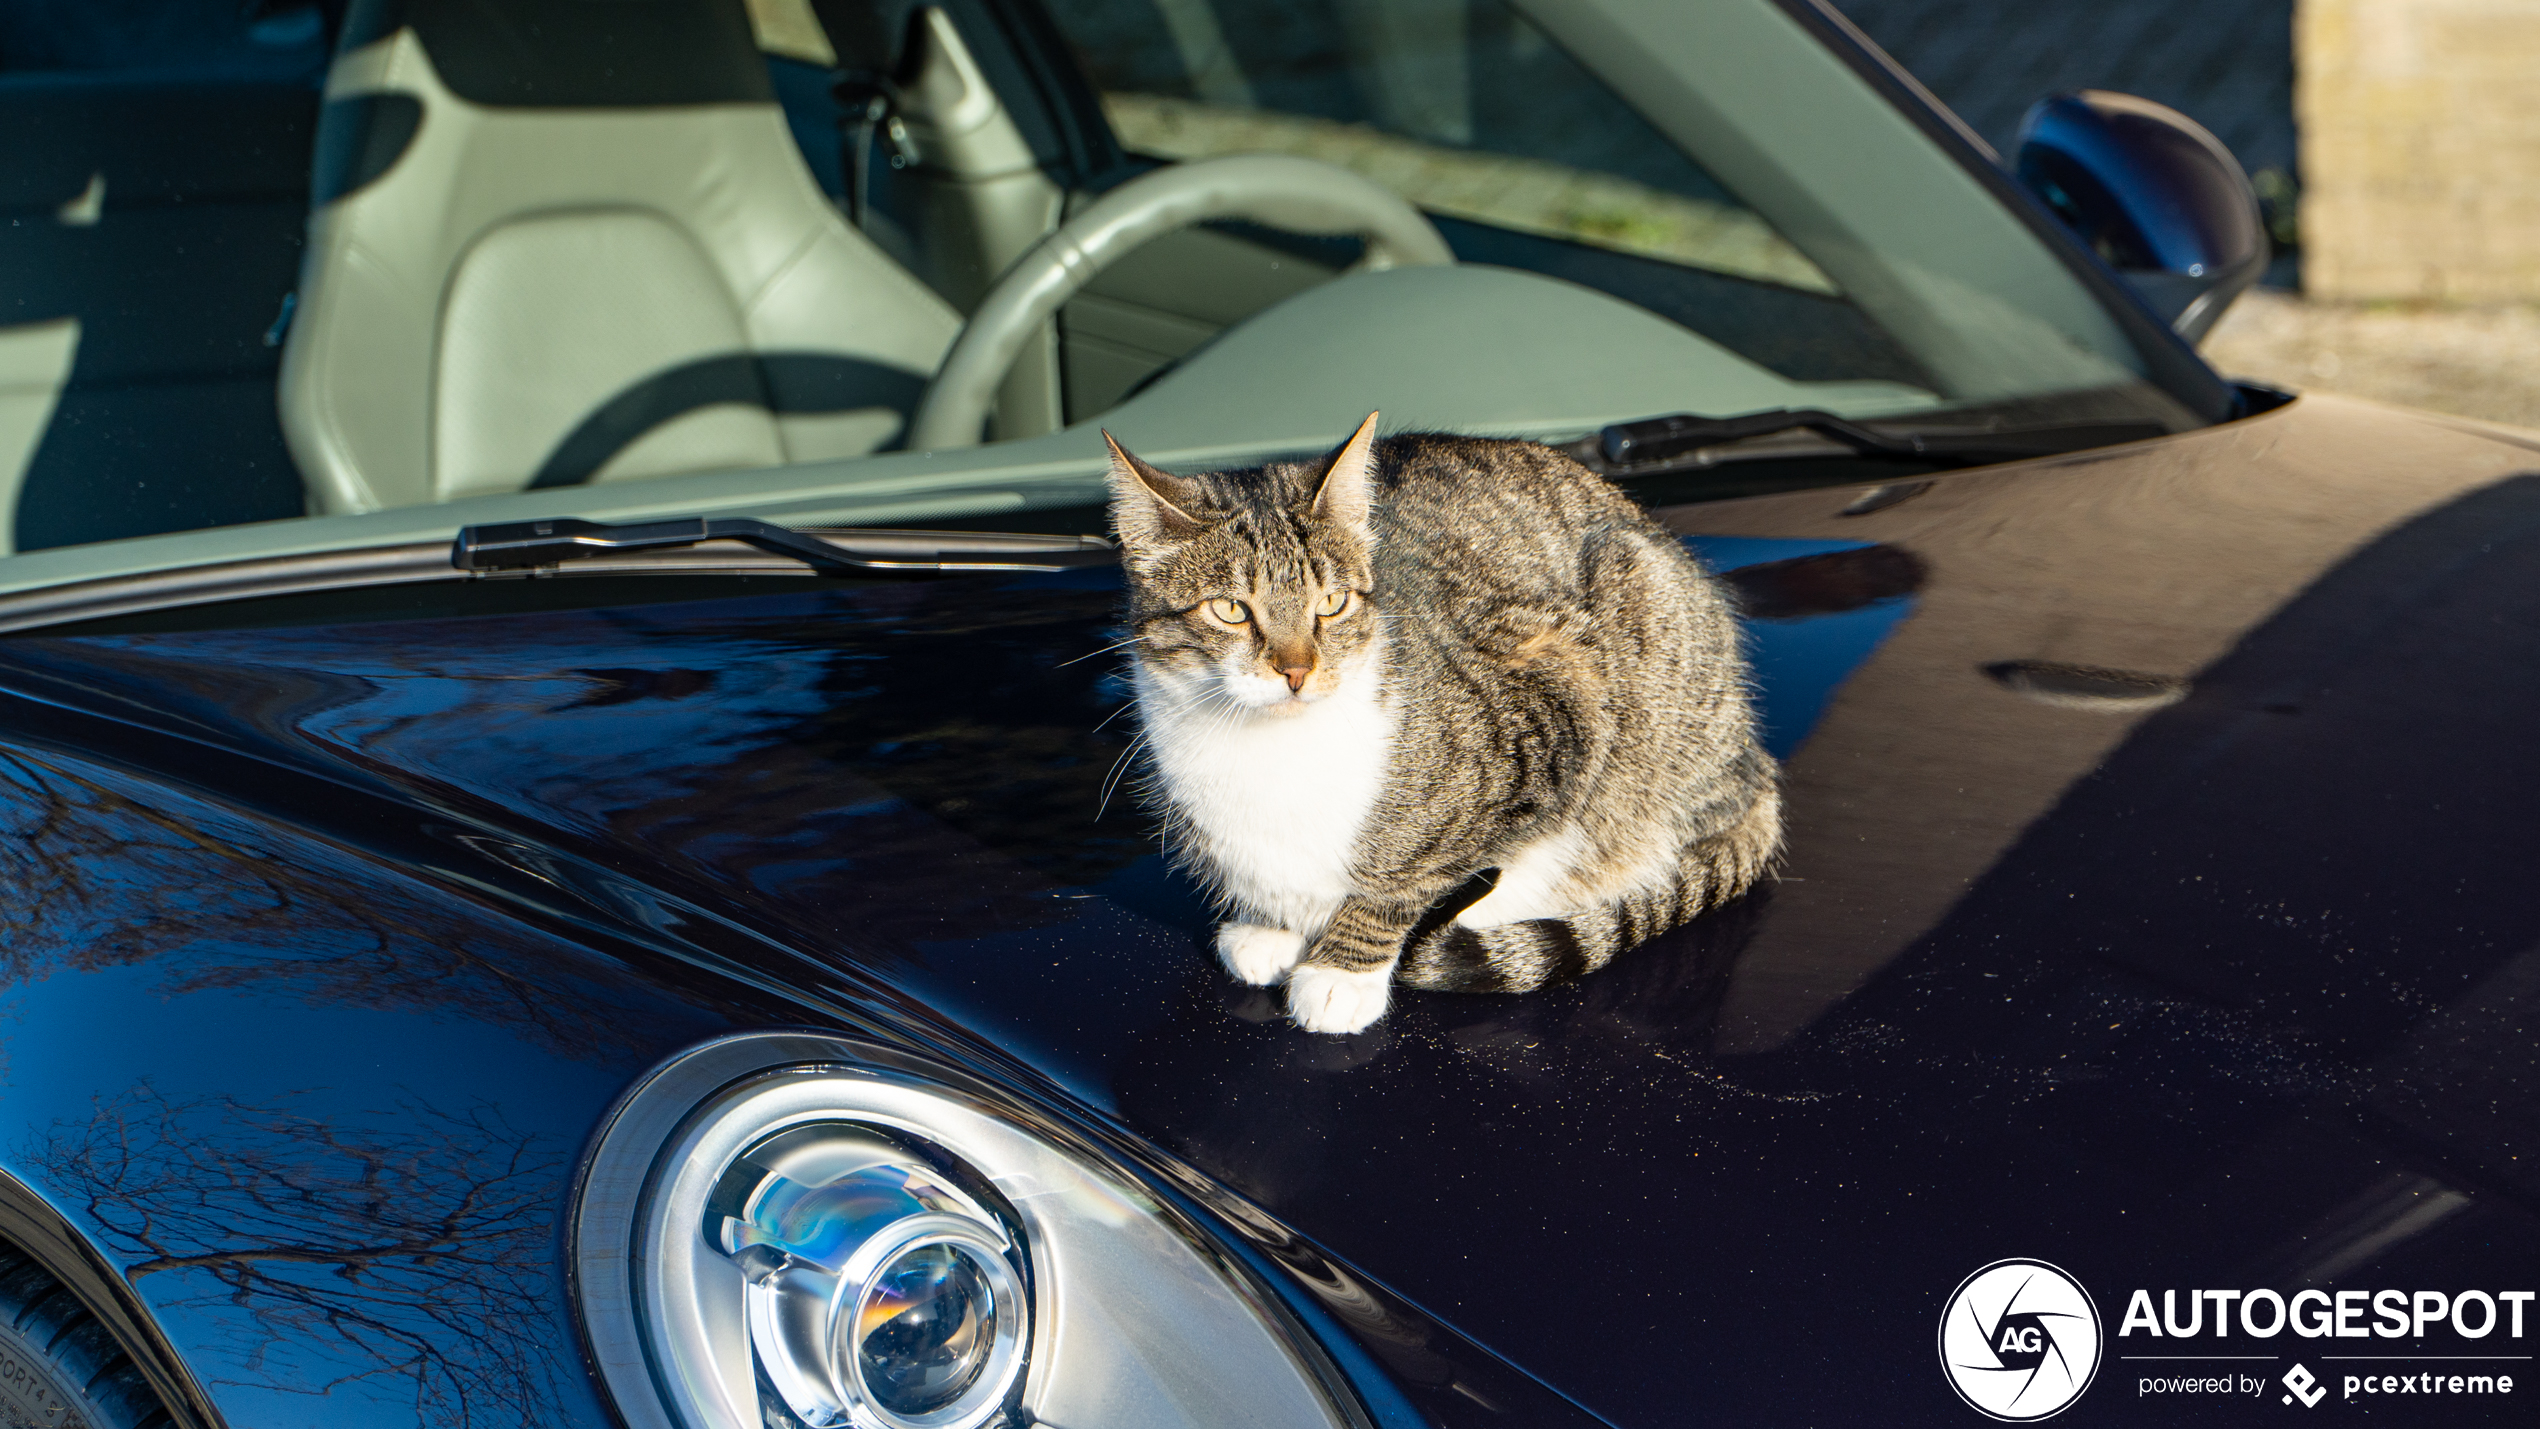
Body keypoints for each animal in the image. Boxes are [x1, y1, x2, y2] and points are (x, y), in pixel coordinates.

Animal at [1102, 408, 1778, 1035]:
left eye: (1332, 603)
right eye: (1230, 611)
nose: (1297, 671)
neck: (1272, 750)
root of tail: (1753, 759)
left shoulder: (1557, 700)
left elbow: (1409, 875)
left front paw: (1341, 971)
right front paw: (1269, 928)